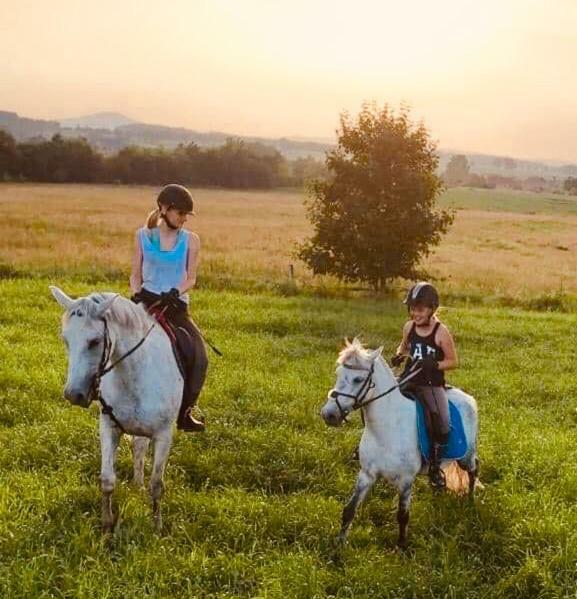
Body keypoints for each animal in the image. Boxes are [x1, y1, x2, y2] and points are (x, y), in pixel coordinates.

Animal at [51, 288, 183, 536]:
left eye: (94, 341)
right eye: (65, 340)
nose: (73, 395)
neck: (135, 372)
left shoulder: (164, 435)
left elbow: (157, 485)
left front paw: (157, 528)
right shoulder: (109, 427)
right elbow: (107, 480)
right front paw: (106, 527)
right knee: (139, 448)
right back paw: (137, 485)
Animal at [320, 340, 476, 552]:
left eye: (358, 379)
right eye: (338, 373)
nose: (328, 414)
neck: (386, 429)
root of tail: (468, 398)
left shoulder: (405, 481)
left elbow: (402, 516)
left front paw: (401, 548)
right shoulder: (366, 474)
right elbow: (349, 510)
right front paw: (339, 543)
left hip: (466, 456)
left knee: (473, 472)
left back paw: (471, 500)